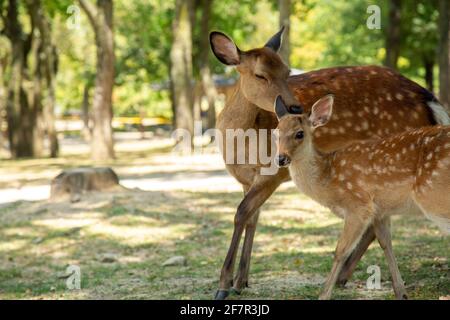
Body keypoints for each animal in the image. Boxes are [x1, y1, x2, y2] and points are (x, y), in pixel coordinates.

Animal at [274, 95, 450, 300]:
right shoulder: (380, 211)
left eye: (299, 134)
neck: (328, 179)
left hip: (433, 196)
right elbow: (386, 244)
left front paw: (323, 295)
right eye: (275, 133)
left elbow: (340, 251)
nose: (281, 158)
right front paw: (401, 292)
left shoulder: (358, 205)